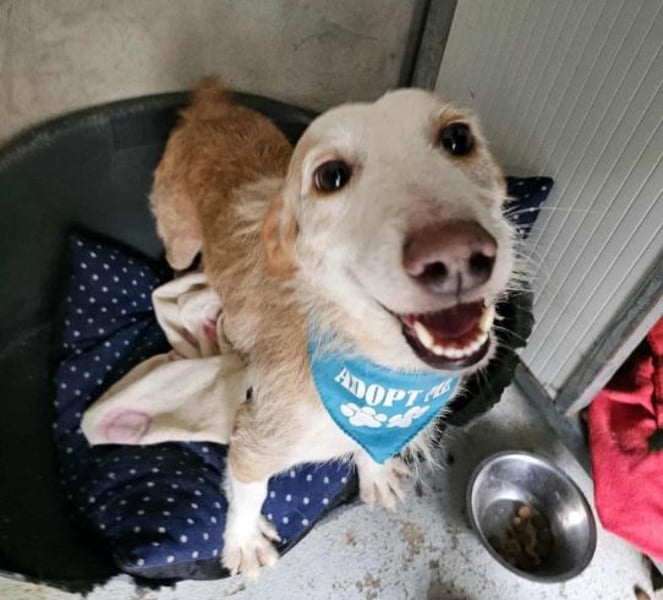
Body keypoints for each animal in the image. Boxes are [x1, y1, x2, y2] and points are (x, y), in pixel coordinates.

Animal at [150, 77, 515, 577]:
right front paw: (243, 541)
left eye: (457, 138)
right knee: (176, 268)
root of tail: (210, 102)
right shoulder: (253, 440)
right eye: (330, 177)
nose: (456, 255)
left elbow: (368, 448)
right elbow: (249, 491)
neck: (380, 372)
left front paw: (373, 470)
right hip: (180, 239)